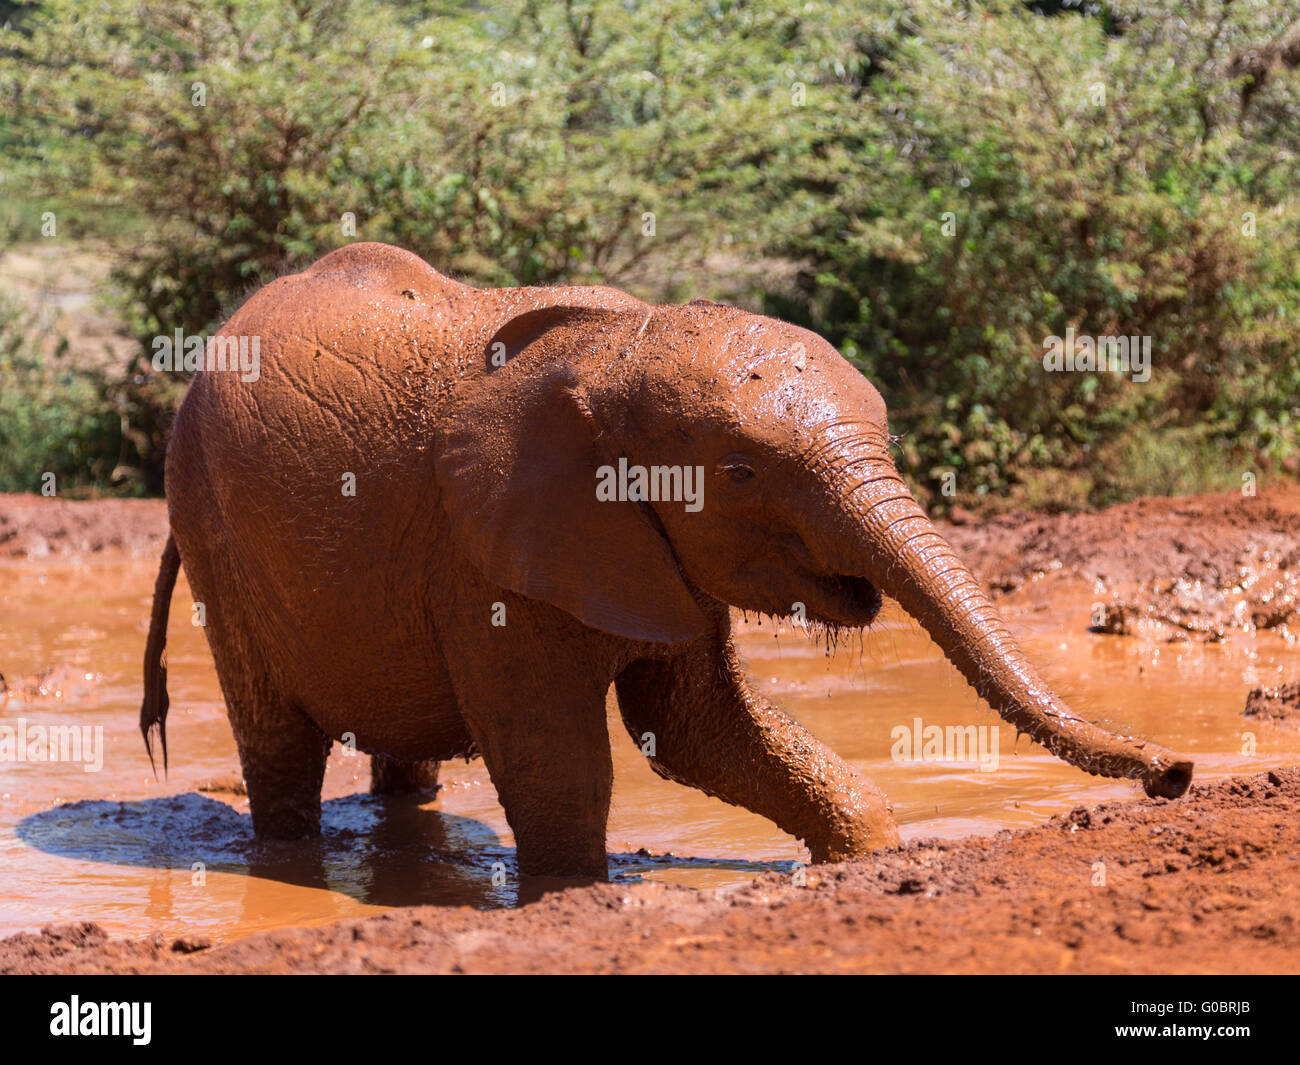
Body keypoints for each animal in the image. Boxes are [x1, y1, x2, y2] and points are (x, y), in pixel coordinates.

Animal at [140, 242, 1192, 878]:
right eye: (740, 472)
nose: (1174, 770)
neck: (617, 347)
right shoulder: (482, 554)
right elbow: (561, 763)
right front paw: (574, 895)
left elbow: (701, 730)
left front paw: (863, 857)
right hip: (209, 522)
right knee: (278, 743)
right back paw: (288, 865)